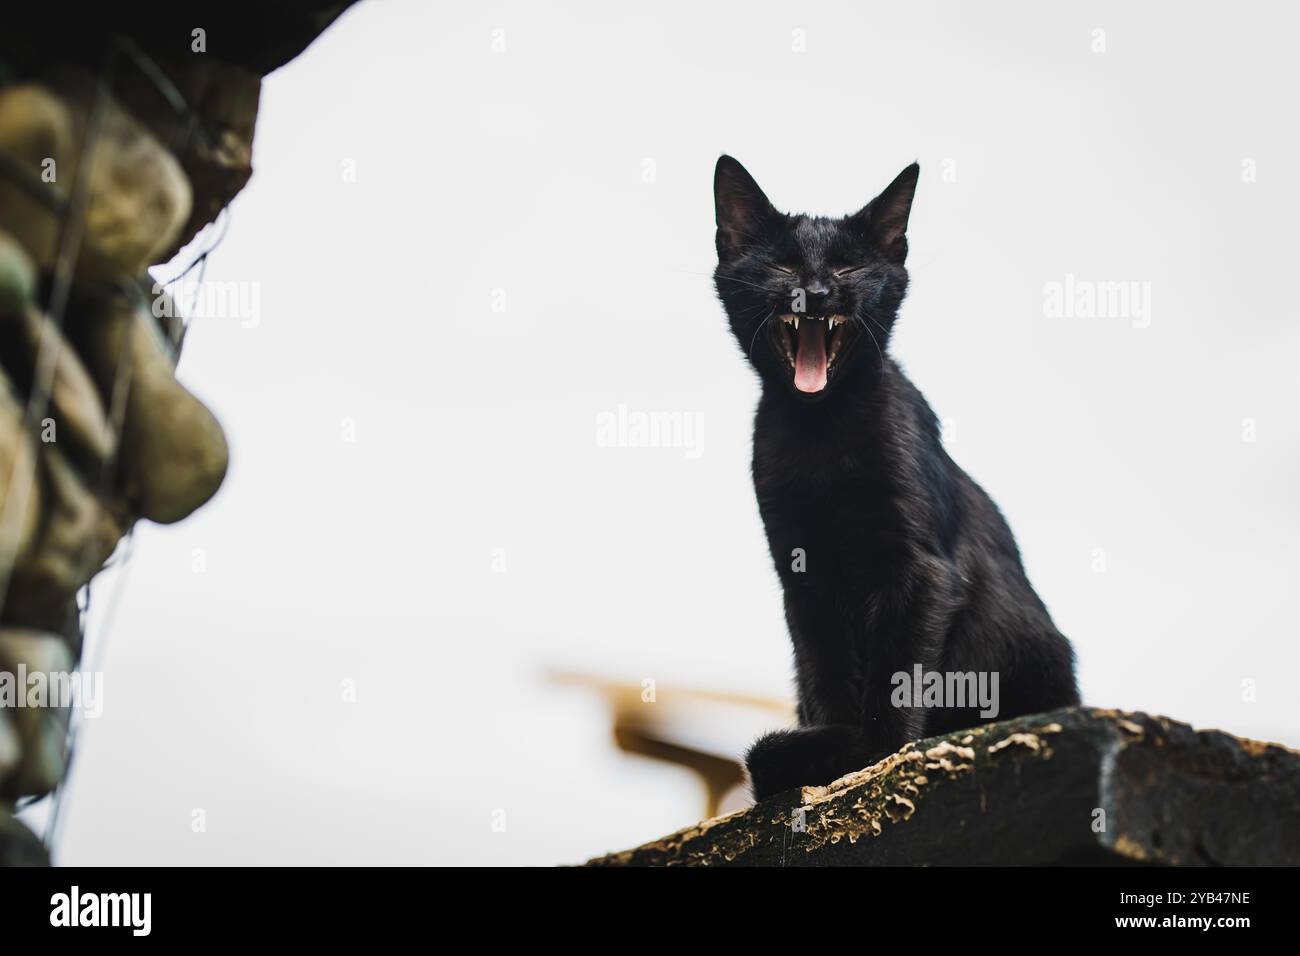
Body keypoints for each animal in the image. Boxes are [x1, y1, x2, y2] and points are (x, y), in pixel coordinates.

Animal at [712, 157, 1076, 801]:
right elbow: (825, 670)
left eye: (848, 267)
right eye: (782, 265)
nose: (817, 292)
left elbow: (895, 674)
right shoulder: (802, 578)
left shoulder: (921, 571)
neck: (821, 429)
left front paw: (871, 756)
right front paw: (830, 755)